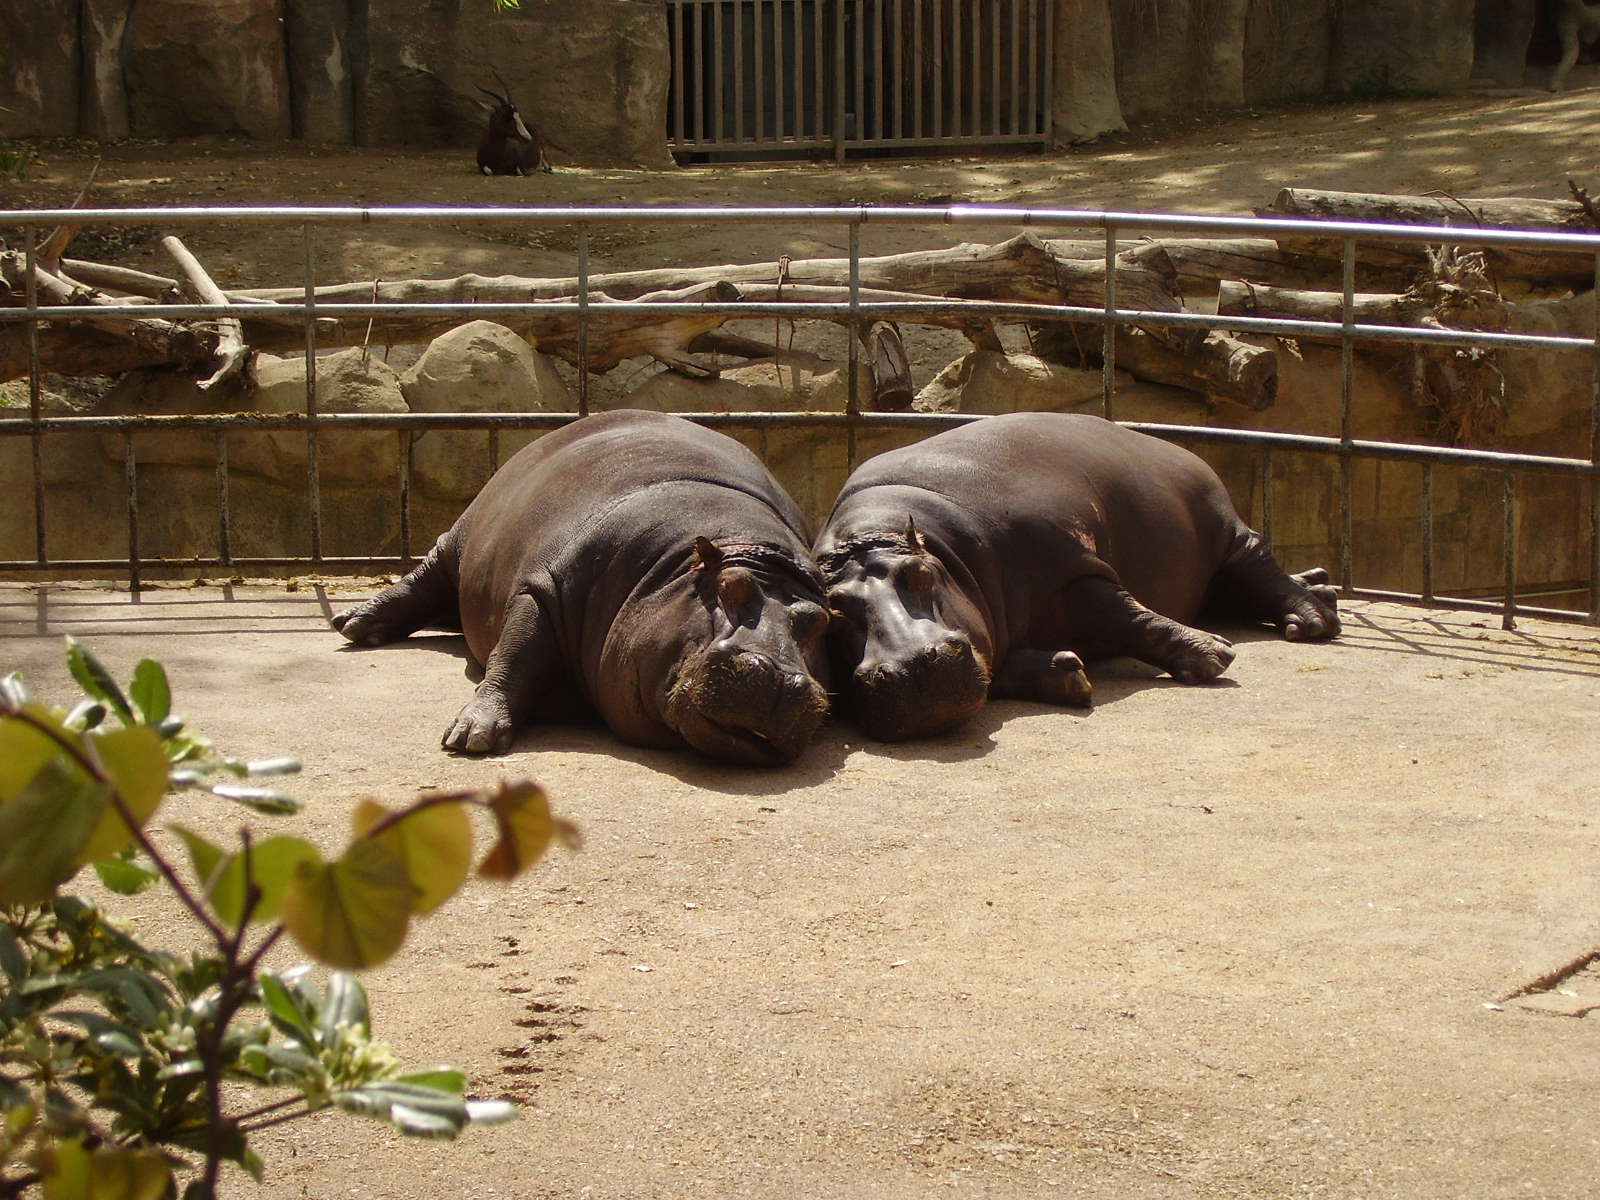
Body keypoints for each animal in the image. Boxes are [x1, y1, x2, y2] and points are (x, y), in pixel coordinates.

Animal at [332, 409, 831, 765]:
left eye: (820, 623)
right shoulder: (544, 588)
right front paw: (471, 736)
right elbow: (516, 655)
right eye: (729, 587)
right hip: (461, 536)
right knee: (425, 578)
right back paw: (353, 624)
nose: (780, 677)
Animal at [814, 412, 1340, 741]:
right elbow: (1000, 664)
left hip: (1224, 526)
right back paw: (1322, 585)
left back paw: (1313, 619)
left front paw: (1213, 655)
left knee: (1258, 563)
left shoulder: (1073, 569)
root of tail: (1169, 445)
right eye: (834, 615)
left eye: (920, 573)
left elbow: (1131, 617)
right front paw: (1066, 671)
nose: (913, 667)